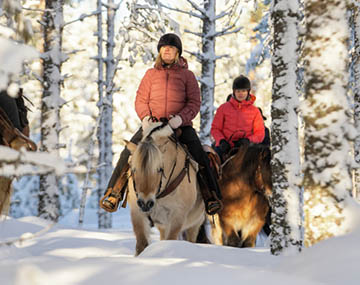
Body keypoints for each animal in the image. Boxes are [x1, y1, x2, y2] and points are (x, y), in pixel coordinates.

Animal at [126, 121, 205, 254]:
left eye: (159, 169)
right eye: (134, 169)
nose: (145, 203)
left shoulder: (178, 215)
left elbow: (171, 239)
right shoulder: (137, 212)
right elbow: (141, 244)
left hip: (196, 222)